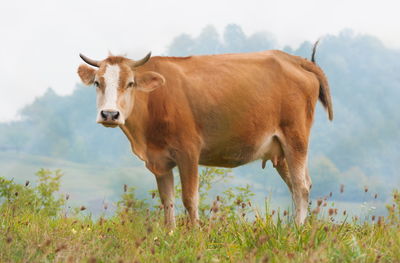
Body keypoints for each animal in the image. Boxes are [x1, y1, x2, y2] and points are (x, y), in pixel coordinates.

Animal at [77, 41, 332, 229]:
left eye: (130, 83)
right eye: (97, 83)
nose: (110, 114)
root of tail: (294, 59)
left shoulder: (188, 151)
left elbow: (190, 198)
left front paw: (194, 235)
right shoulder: (160, 160)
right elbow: (167, 200)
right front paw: (170, 235)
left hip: (295, 138)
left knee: (301, 186)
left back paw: (297, 231)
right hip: (280, 150)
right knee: (296, 187)